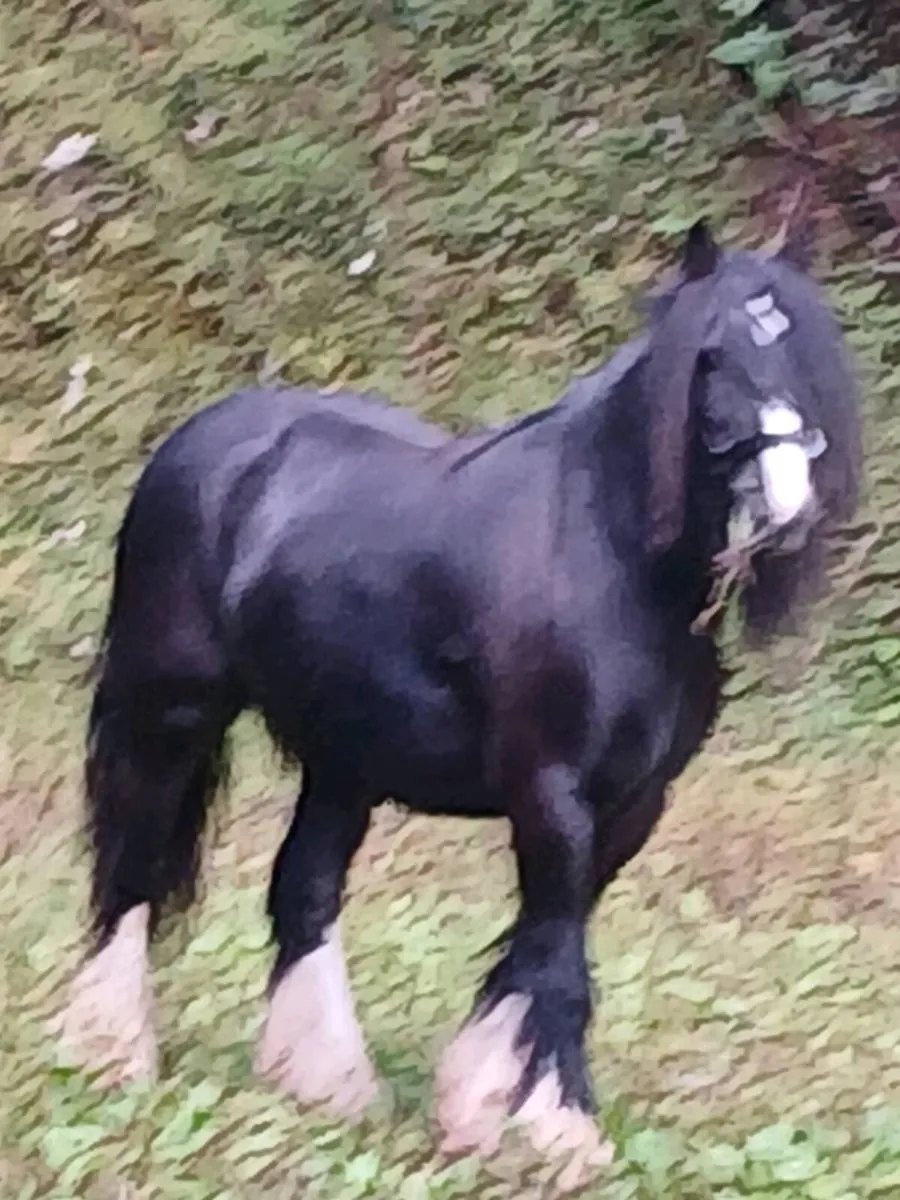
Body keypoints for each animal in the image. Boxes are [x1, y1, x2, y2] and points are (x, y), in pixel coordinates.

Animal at [58, 223, 861, 1183]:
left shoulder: (633, 806)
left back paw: (324, 1081)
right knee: (133, 870)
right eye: (710, 358)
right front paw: (557, 1133)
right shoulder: (552, 795)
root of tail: (208, 439)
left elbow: (534, 953)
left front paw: (488, 1108)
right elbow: (557, 964)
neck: (614, 559)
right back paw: (110, 1052)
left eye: (806, 355)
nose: (789, 508)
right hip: (169, 713)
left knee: (304, 890)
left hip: (342, 759)